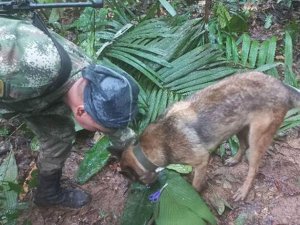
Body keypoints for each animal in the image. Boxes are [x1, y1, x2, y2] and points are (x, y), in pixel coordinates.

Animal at [119, 71, 300, 201]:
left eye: (137, 181)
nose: (149, 189)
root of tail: (283, 86)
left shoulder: (201, 161)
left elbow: (194, 186)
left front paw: (193, 197)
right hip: (239, 126)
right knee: (243, 145)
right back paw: (234, 160)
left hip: (257, 138)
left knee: (253, 167)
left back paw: (243, 191)